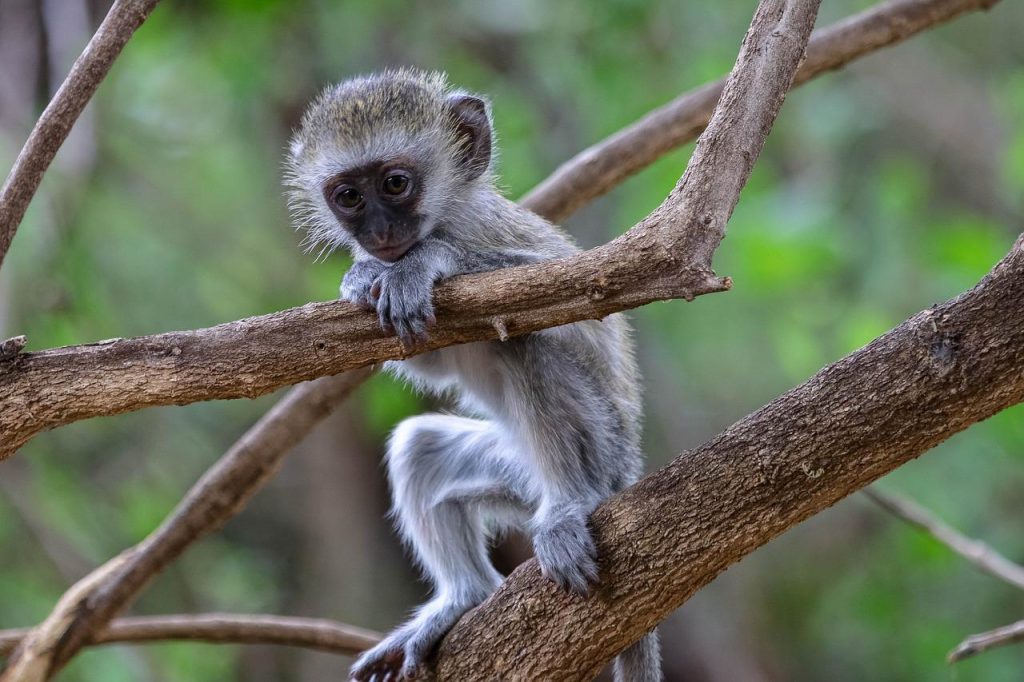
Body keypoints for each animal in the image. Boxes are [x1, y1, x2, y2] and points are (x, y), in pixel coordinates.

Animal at [284, 70, 659, 679]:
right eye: (349, 197)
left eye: (395, 184)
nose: (380, 234)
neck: (447, 216)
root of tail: (627, 471)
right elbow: (427, 359)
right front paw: (364, 274)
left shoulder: (487, 231)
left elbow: (587, 303)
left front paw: (423, 263)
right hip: (514, 476)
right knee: (420, 448)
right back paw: (464, 597)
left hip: (603, 454)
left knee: (526, 348)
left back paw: (569, 503)